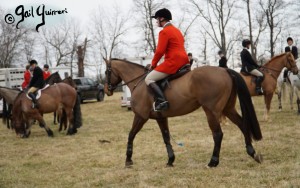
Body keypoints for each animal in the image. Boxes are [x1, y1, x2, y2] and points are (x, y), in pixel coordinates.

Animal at [105, 58, 262, 167]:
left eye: (106, 72)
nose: (107, 90)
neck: (139, 82)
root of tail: (224, 70)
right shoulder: (161, 118)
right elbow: (166, 138)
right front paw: (170, 160)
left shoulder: (140, 117)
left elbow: (131, 135)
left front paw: (128, 160)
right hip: (228, 109)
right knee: (242, 125)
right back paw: (252, 153)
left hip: (211, 111)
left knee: (218, 134)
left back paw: (213, 162)